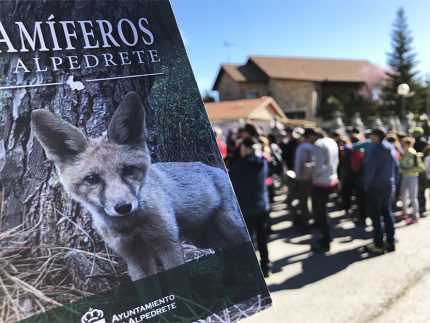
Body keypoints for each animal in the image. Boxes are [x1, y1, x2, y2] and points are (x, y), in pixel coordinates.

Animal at [31, 92, 249, 282]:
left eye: (128, 170)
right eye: (92, 179)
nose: (123, 207)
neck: (130, 226)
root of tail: (216, 169)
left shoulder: (167, 244)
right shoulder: (134, 256)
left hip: (230, 227)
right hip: (204, 238)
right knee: (227, 250)